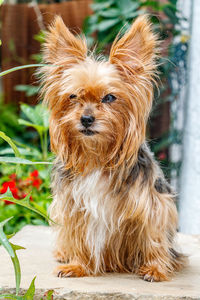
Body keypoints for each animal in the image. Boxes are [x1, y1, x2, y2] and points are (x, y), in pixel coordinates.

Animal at [39, 14, 187, 282]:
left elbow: (154, 235)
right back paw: (64, 254)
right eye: (73, 96)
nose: (86, 119)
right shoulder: (74, 206)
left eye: (109, 98)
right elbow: (78, 235)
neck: (96, 155)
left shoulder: (153, 204)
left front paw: (155, 268)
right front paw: (77, 265)